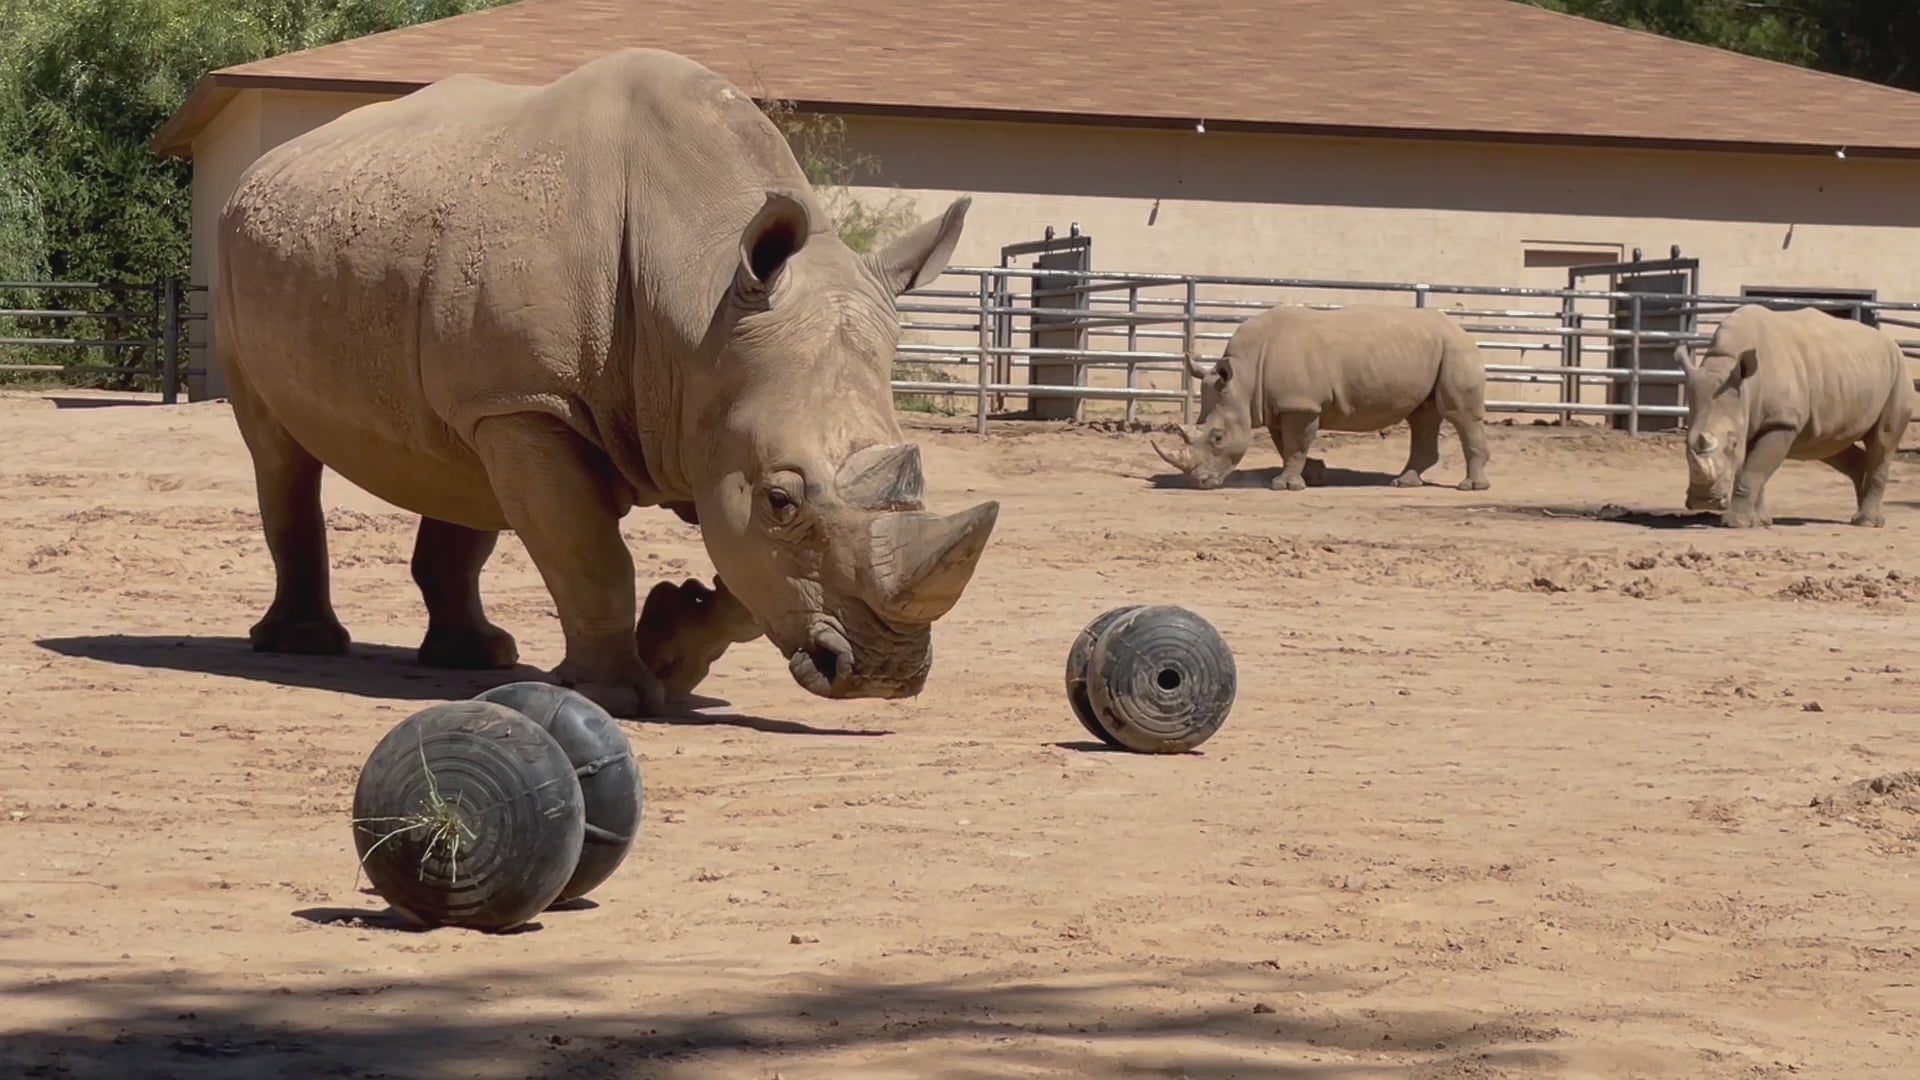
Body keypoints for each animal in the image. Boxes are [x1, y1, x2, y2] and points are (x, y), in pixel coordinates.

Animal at [214, 48, 1006, 714]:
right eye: (782, 500)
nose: (885, 673)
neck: (698, 293)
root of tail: (260, 166)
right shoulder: (537, 400)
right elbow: (590, 554)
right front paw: (618, 696)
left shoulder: (711, 413)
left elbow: (743, 572)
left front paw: (670, 650)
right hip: (234, 256)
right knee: (278, 454)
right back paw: (305, 646)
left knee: (462, 463)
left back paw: (476, 659)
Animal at [1144, 299, 1489, 490]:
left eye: (1217, 437)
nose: (1198, 483)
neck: (1244, 379)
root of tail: (1461, 328)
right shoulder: (1278, 405)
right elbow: (1286, 445)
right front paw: (1314, 475)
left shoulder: (1301, 405)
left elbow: (1296, 443)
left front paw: (1285, 486)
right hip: (1431, 350)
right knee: (1422, 416)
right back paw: (1404, 482)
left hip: (1456, 350)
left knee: (1458, 414)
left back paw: (1470, 487)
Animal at [1674, 303, 1912, 526]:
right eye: (1685, 442)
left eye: (1732, 444)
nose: (1703, 501)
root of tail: (1892, 344)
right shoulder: (1751, 416)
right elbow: (1752, 469)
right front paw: (1759, 522)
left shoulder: (1780, 421)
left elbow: (1753, 470)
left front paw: (1736, 523)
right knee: (1829, 443)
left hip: (1898, 374)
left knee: (1883, 440)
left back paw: (1866, 522)